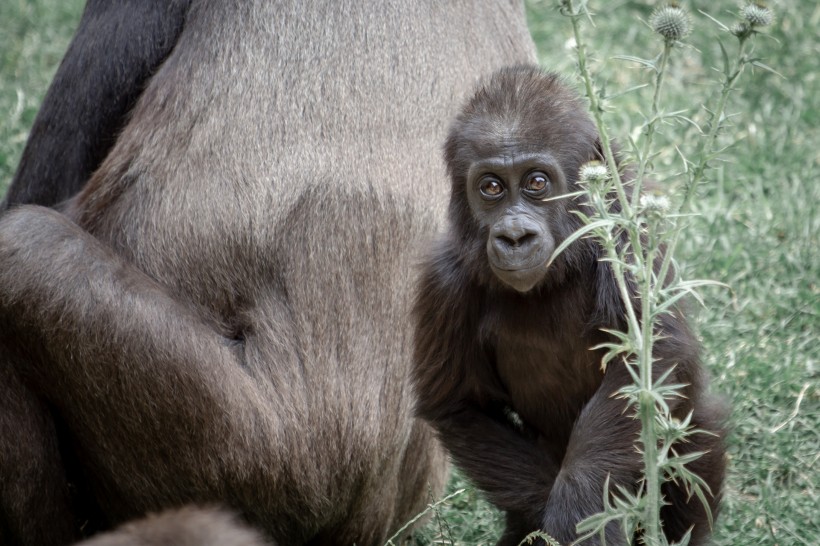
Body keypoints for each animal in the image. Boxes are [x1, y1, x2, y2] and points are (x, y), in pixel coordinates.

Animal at [414, 67, 728, 544]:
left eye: (536, 183)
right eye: (491, 187)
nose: (514, 236)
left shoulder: (628, 232)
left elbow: (652, 354)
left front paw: (577, 503)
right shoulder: (444, 283)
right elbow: (461, 407)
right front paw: (567, 512)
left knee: (694, 434)